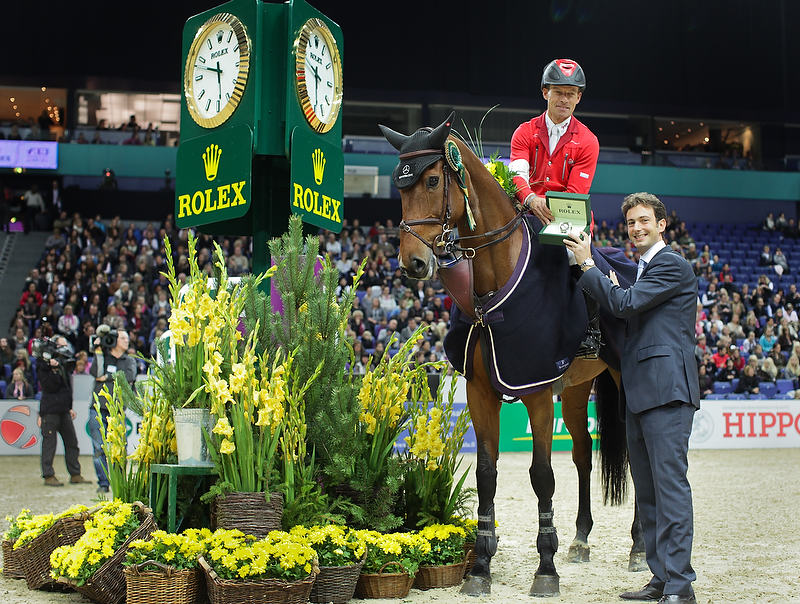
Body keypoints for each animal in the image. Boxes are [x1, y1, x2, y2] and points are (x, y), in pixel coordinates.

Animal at [379, 113, 645, 597]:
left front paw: (546, 568)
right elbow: (487, 473)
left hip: (620, 380)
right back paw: (580, 539)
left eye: (432, 180)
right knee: (583, 452)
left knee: (636, 456)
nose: (412, 262)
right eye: (399, 186)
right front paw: (481, 567)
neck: (492, 286)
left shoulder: (536, 391)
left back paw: (638, 547)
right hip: (575, 391)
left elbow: (541, 475)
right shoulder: (481, 392)